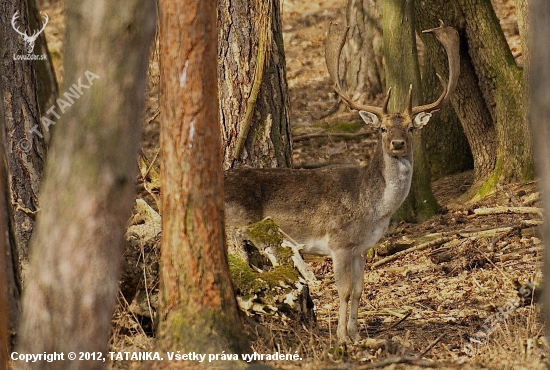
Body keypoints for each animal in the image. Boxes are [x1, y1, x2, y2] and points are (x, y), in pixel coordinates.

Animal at [225, 21, 462, 344]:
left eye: (411, 128)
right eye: (382, 128)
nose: (398, 143)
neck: (374, 208)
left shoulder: (361, 247)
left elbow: (360, 291)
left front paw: (357, 335)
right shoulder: (338, 243)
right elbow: (345, 291)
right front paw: (342, 338)